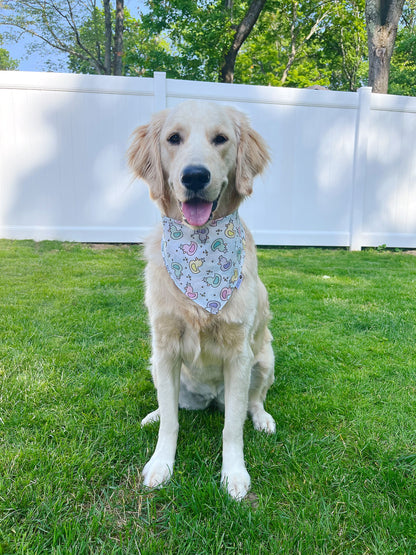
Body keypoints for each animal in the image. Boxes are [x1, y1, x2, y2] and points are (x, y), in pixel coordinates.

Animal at [128, 101, 274, 504]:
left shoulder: (239, 354)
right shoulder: (164, 347)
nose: (194, 176)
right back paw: (153, 415)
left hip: (265, 359)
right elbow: (172, 422)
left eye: (220, 139)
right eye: (173, 138)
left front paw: (234, 474)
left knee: (254, 401)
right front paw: (161, 464)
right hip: (156, 364)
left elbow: (232, 428)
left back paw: (263, 419)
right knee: (171, 404)